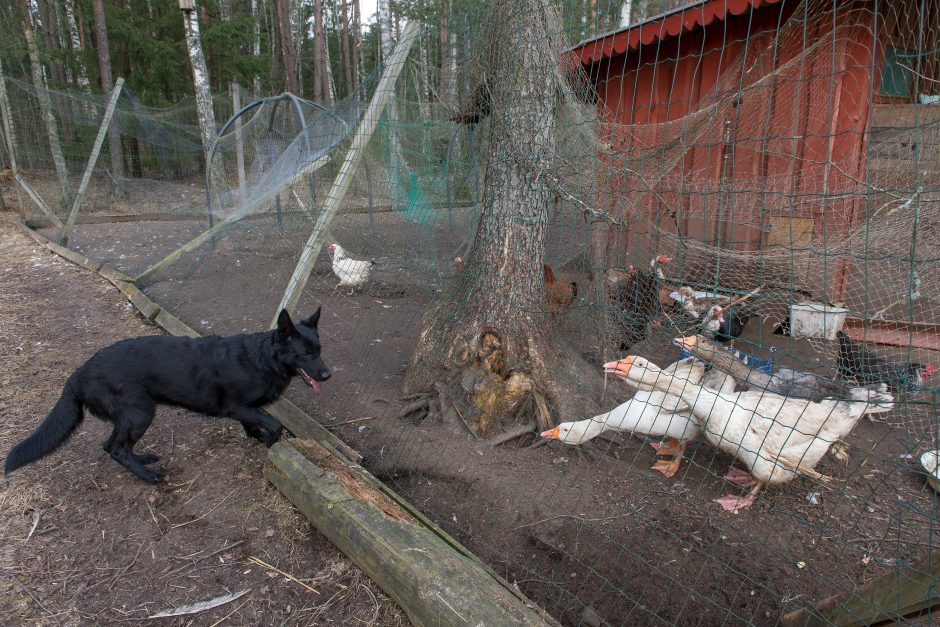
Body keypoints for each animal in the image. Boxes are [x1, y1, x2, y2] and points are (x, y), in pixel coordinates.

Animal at [4, 308, 330, 480]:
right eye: (305, 354)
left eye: (319, 350)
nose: (327, 375)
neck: (262, 358)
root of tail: (80, 372)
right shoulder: (238, 407)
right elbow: (274, 424)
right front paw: (271, 444)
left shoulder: (245, 411)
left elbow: (253, 426)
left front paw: (259, 438)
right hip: (140, 412)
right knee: (115, 448)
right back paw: (149, 477)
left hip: (133, 416)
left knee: (113, 446)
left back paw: (143, 460)